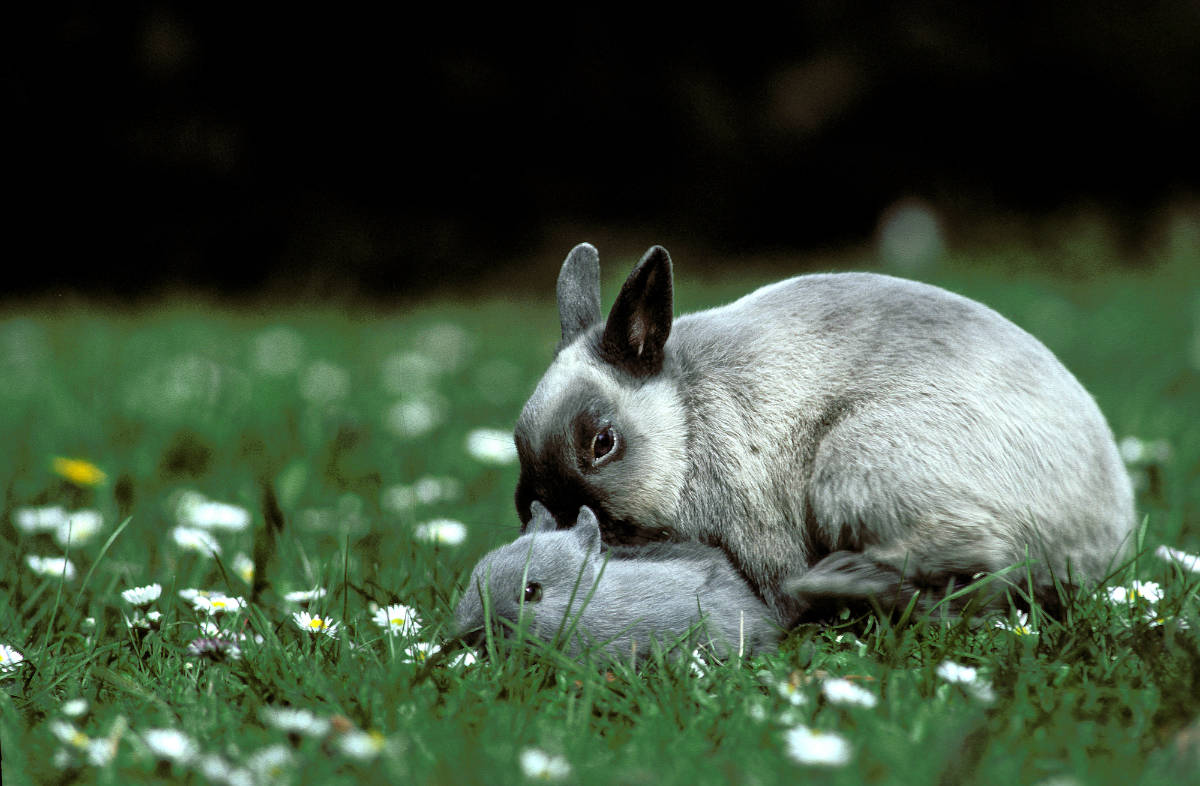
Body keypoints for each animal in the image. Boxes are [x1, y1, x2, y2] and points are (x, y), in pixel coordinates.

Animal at [513, 242, 1132, 624]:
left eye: (602, 444)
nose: (554, 515)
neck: (686, 422)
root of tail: (1108, 524)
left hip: (858, 463)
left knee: (982, 561)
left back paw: (843, 584)